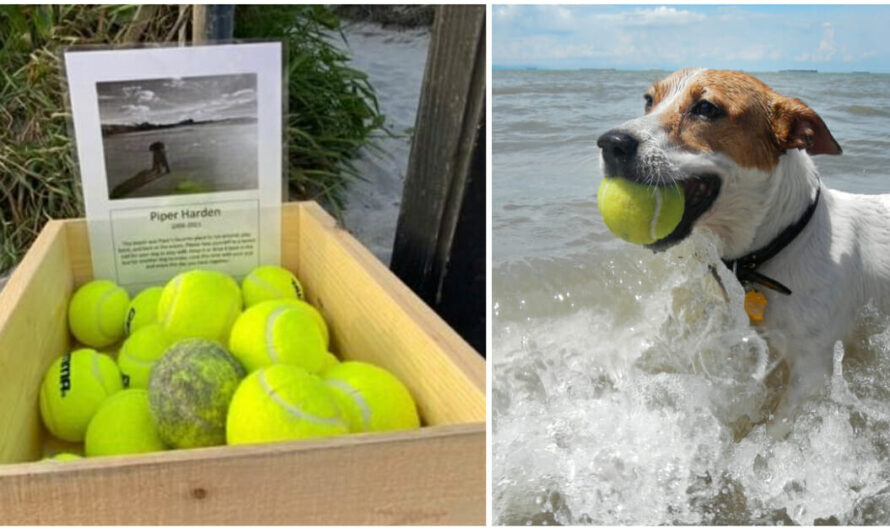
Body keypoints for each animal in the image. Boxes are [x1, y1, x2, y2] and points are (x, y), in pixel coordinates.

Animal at [596, 67, 888, 428]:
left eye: (706, 108)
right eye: (649, 100)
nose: (610, 142)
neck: (782, 242)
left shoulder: (812, 372)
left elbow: (777, 430)